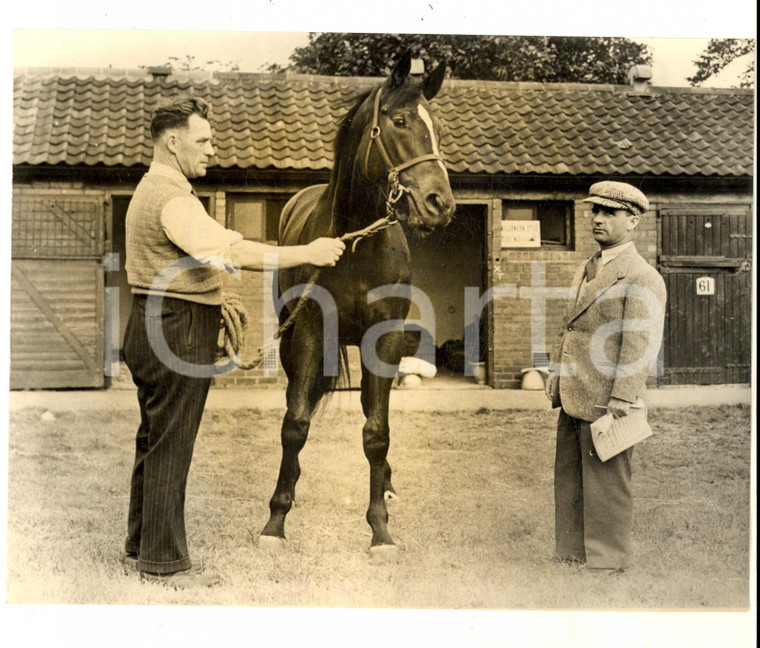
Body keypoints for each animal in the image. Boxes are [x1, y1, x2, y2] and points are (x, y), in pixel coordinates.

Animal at [258, 50, 454, 556]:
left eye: (438, 129)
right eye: (400, 122)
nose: (440, 204)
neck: (356, 245)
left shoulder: (383, 340)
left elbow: (376, 432)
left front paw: (380, 528)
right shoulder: (309, 334)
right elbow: (295, 423)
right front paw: (276, 519)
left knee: (371, 410)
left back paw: (386, 483)